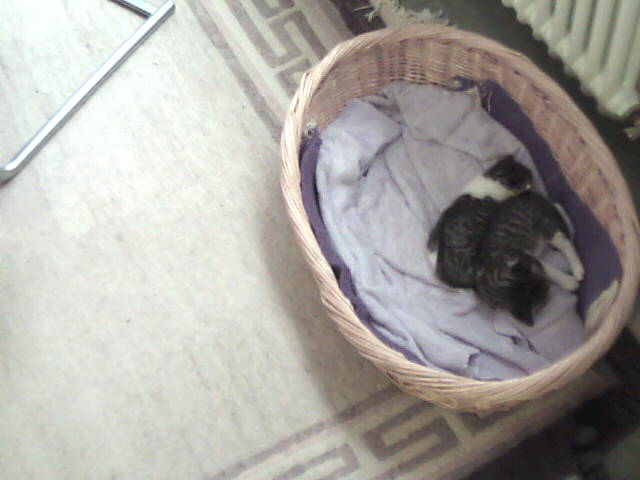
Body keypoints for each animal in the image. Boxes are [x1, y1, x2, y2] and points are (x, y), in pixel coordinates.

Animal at [474, 190, 584, 325]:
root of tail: (531, 194)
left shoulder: (525, 255)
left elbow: (549, 269)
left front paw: (568, 281)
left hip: (546, 225)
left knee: (565, 243)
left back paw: (577, 268)